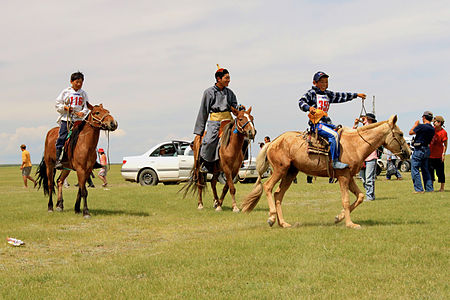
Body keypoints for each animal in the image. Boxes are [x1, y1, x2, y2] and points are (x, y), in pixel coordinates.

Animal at [243, 115, 412, 230]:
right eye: (401, 134)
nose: (409, 152)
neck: (355, 144)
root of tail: (273, 142)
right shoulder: (343, 176)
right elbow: (345, 200)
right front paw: (350, 224)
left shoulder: (349, 177)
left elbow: (360, 196)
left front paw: (338, 218)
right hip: (280, 169)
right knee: (267, 187)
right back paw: (271, 218)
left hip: (291, 172)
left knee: (278, 194)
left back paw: (283, 223)